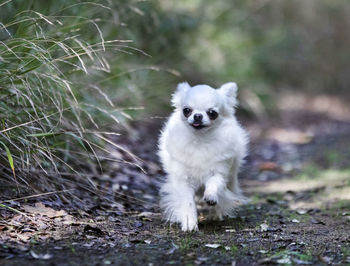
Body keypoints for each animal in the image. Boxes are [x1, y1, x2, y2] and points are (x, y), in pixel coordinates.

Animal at [157, 81, 247, 231]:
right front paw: (189, 222)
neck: (200, 140)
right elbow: (187, 201)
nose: (198, 116)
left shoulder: (220, 171)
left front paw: (211, 197)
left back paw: (215, 213)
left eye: (212, 113)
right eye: (187, 110)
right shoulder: (183, 179)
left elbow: (214, 183)